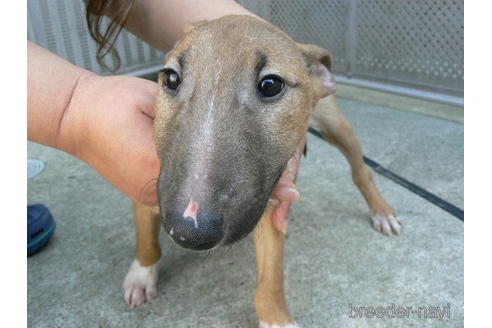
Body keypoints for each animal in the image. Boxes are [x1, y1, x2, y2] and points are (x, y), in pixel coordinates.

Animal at [122, 16, 400, 328]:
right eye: (171, 78)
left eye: (270, 85)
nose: (188, 232)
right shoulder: (146, 182)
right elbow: (146, 237)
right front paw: (142, 274)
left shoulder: (268, 203)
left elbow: (272, 277)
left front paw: (277, 318)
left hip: (337, 126)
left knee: (362, 172)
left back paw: (382, 212)